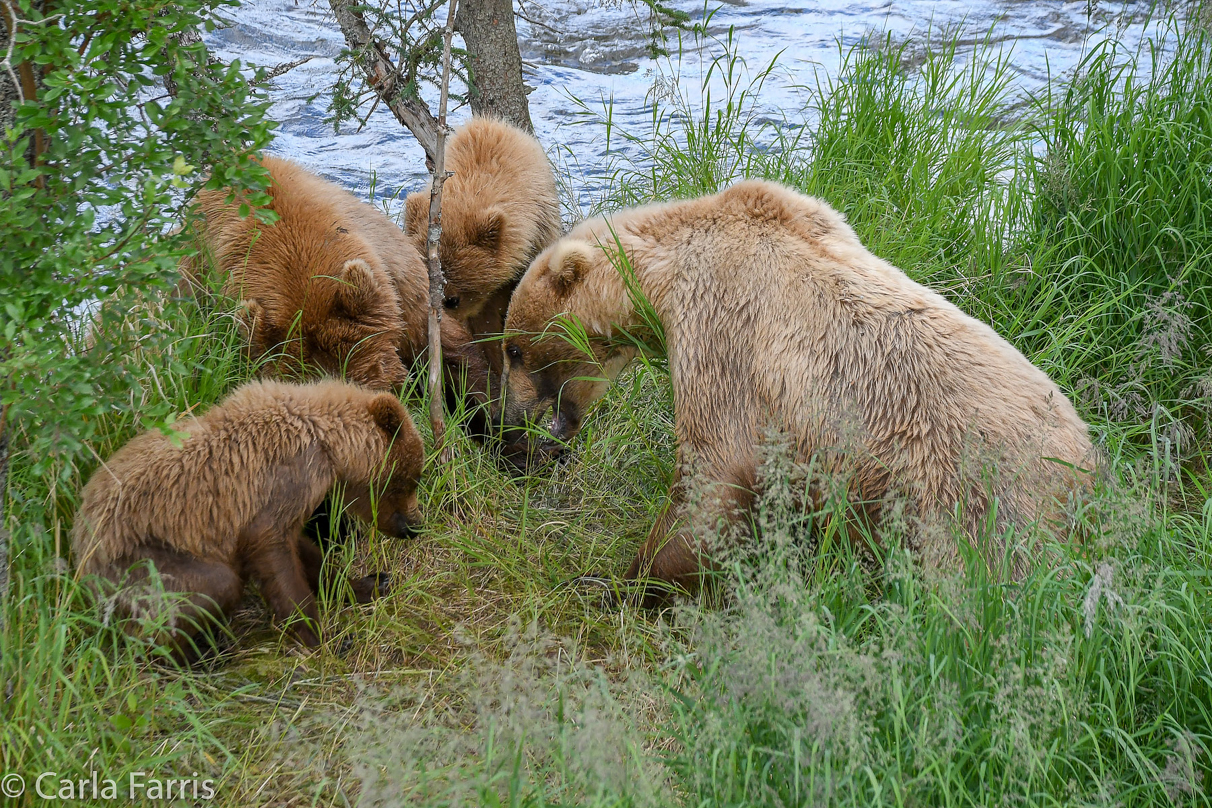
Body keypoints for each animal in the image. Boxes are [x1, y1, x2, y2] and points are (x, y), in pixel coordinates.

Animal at [501, 181, 1100, 600]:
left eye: (513, 349)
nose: (513, 419)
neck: (663, 278)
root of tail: (1091, 466)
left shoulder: (722, 329)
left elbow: (712, 474)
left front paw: (618, 582)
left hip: (972, 500)